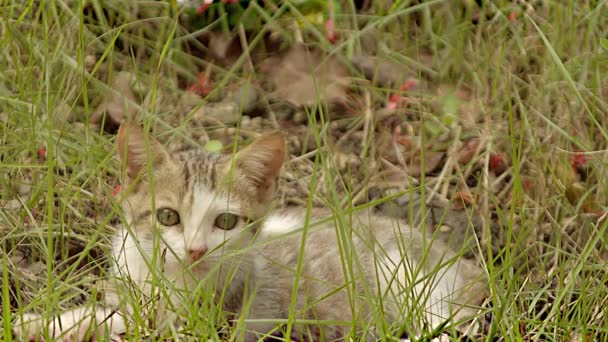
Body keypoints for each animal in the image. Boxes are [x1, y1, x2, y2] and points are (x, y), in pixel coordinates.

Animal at [14, 123, 486, 342]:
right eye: (168, 216)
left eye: (225, 222)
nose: (195, 250)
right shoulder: (131, 289)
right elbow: (110, 311)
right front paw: (40, 322)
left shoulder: (224, 315)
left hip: (415, 283)